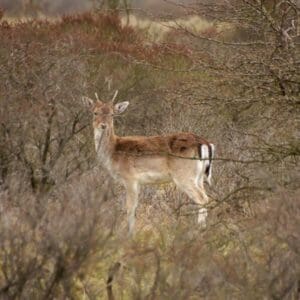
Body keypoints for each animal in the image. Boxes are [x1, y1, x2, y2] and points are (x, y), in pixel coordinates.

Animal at [83, 91, 214, 234]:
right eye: (95, 112)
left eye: (112, 114)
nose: (103, 125)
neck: (113, 152)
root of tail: (205, 143)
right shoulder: (138, 182)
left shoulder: (130, 178)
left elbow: (130, 208)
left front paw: (130, 234)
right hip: (199, 177)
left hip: (184, 175)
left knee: (202, 198)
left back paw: (199, 230)